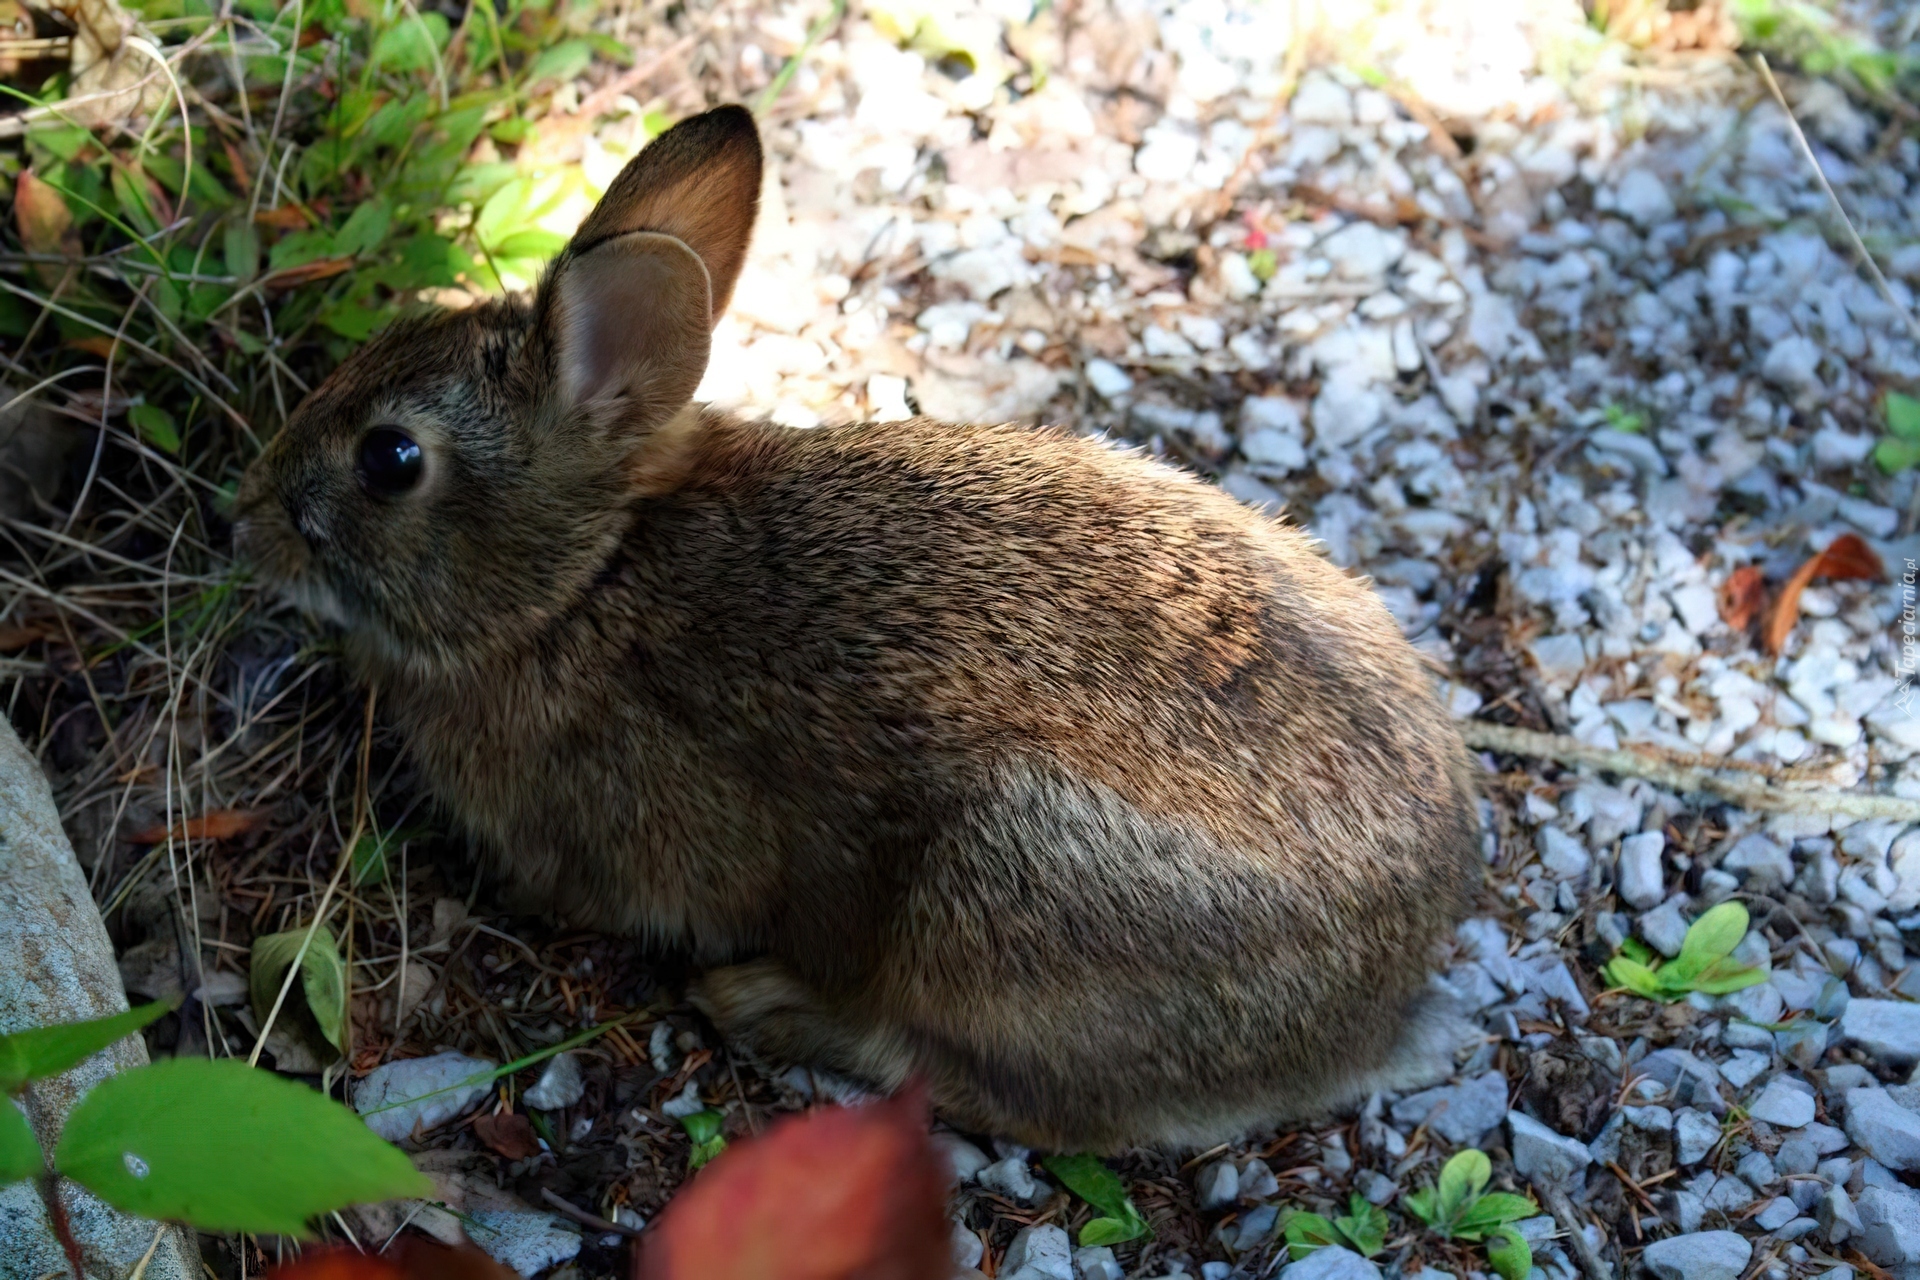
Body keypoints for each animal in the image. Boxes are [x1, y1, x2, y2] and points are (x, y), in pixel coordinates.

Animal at [232, 105, 1474, 1159]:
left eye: (391, 459)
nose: (253, 516)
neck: (583, 577)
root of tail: (1374, 1002)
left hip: (995, 899)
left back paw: (766, 1002)